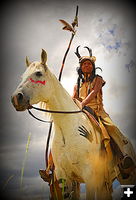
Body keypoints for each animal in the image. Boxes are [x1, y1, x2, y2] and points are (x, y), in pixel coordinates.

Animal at [11, 49, 136, 199]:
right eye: (22, 76)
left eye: (38, 73)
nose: (16, 98)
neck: (67, 127)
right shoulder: (64, 178)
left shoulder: (90, 176)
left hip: (126, 176)